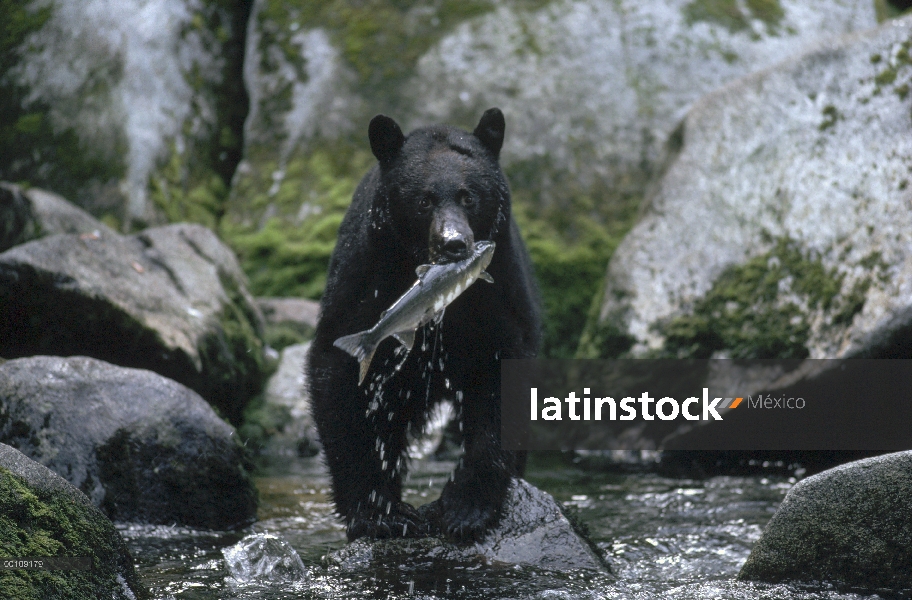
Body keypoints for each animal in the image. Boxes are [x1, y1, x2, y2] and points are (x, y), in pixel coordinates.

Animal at [310, 109, 540, 544]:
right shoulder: (367, 274)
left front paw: (466, 509)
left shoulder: (502, 288)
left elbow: (504, 375)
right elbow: (338, 374)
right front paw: (379, 512)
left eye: (468, 196)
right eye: (423, 200)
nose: (454, 244)